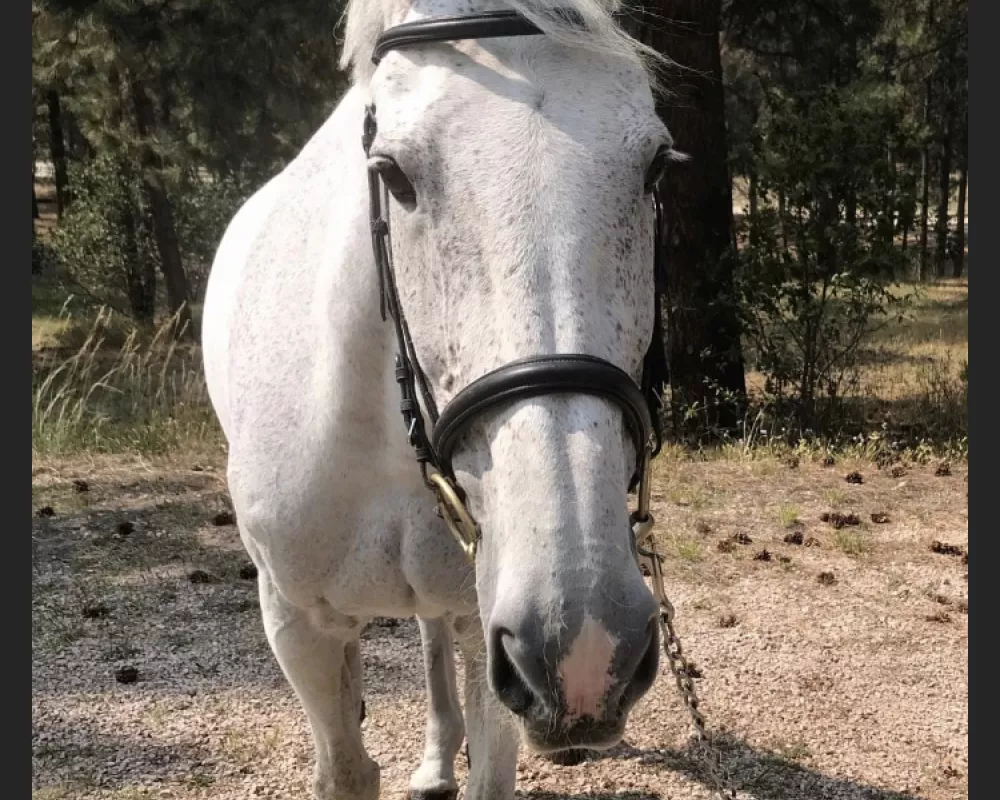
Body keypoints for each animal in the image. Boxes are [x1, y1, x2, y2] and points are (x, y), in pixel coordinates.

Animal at [200, 1, 676, 800]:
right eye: (392, 174)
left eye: (655, 166)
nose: (584, 644)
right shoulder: (297, 627)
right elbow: (346, 769)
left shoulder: (494, 625)